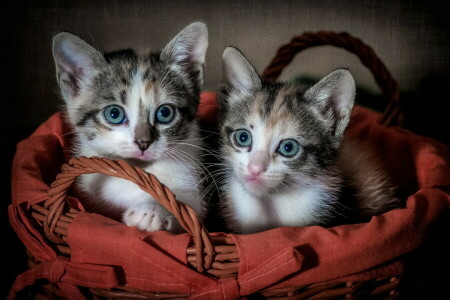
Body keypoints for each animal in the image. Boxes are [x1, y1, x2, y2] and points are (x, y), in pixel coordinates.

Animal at [51, 22, 208, 232]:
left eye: (165, 113)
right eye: (114, 114)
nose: (143, 143)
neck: (139, 170)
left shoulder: (195, 193)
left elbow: (186, 214)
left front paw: (150, 211)